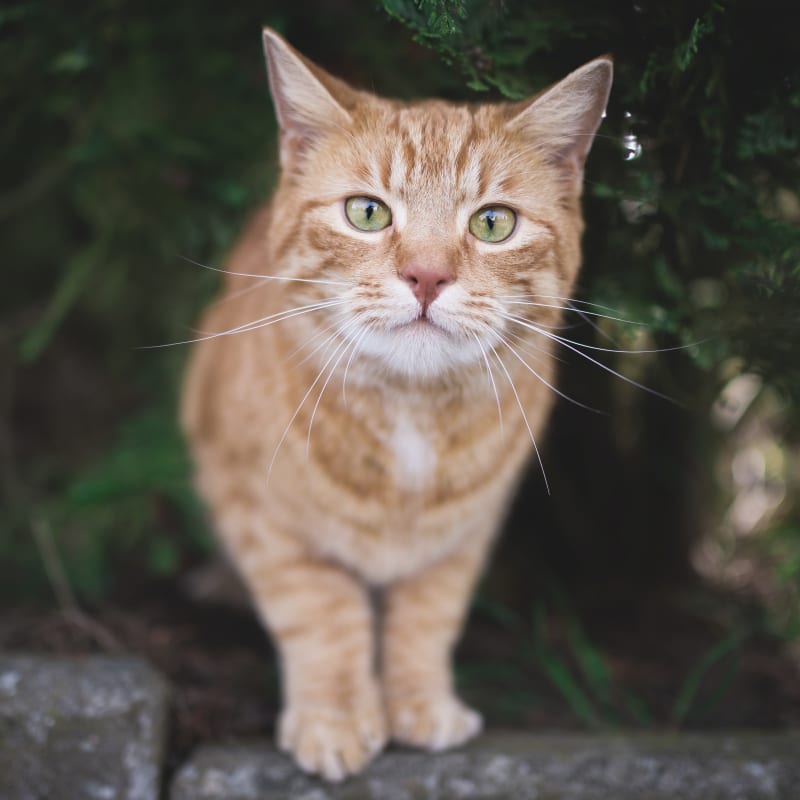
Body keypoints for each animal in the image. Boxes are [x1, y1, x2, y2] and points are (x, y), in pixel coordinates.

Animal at [183, 28, 612, 780]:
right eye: (367, 212)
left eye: (493, 223)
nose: (427, 276)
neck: (411, 412)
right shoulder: (262, 513)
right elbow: (321, 612)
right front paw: (335, 716)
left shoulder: (464, 534)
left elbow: (427, 617)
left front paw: (420, 703)